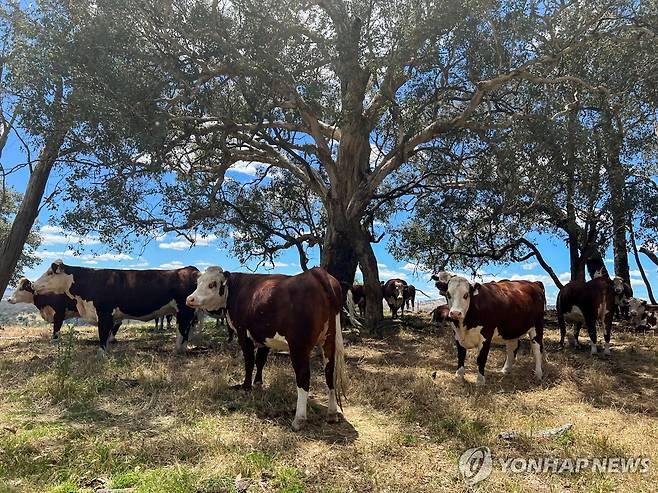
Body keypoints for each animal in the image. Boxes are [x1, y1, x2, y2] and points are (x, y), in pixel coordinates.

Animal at [32, 262, 197, 354]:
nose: (33, 285)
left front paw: (101, 355)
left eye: (50, 272)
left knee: (183, 331)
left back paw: (177, 351)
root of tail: (189, 270)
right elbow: (107, 336)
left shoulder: (104, 313)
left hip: (184, 310)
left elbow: (103, 335)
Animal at [184, 266, 346, 430]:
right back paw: (332, 413)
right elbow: (260, 360)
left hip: (299, 346)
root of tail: (317, 272)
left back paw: (299, 419)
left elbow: (249, 361)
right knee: (329, 372)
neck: (236, 289)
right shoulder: (264, 337)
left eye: (212, 284)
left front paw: (246, 386)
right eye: (198, 282)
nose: (190, 299)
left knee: (303, 376)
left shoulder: (243, 334)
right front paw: (258, 383)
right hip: (328, 341)